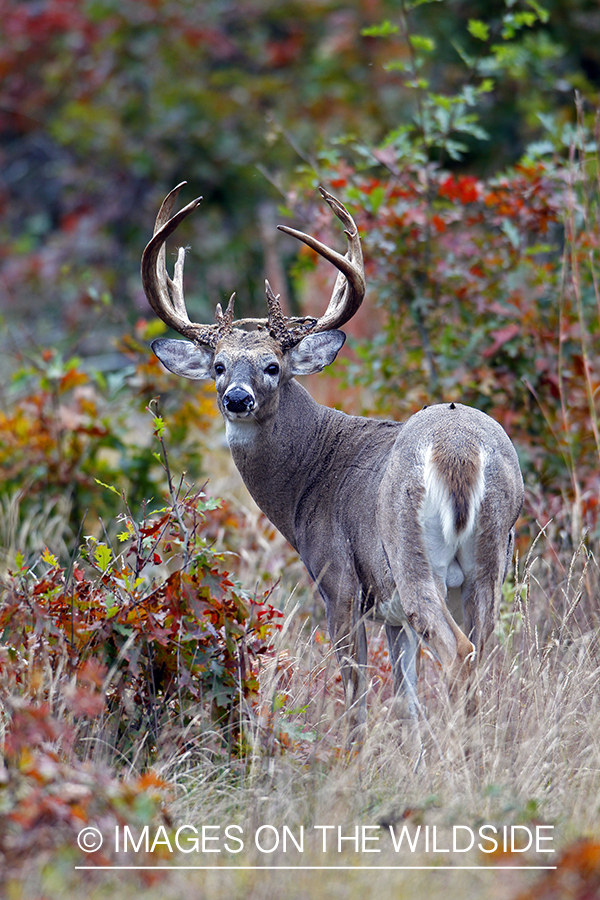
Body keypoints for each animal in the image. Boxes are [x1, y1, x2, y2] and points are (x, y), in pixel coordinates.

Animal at [139, 181, 520, 740]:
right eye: (219, 365)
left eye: (273, 366)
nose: (237, 399)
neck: (308, 480)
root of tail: (459, 452)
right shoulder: (391, 616)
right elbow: (406, 701)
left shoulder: (339, 582)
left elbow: (357, 699)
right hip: (488, 562)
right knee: (483, 655)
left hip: (410, 553)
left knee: (458, 653)